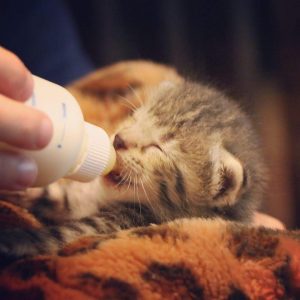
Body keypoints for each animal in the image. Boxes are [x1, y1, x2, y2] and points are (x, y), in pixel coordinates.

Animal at [0, 79, 266, 260]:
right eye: (135, 118)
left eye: (157, 147)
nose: (118, 139)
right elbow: (61, 198)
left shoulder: (114, 226)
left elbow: (59, 236)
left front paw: (13, 240)